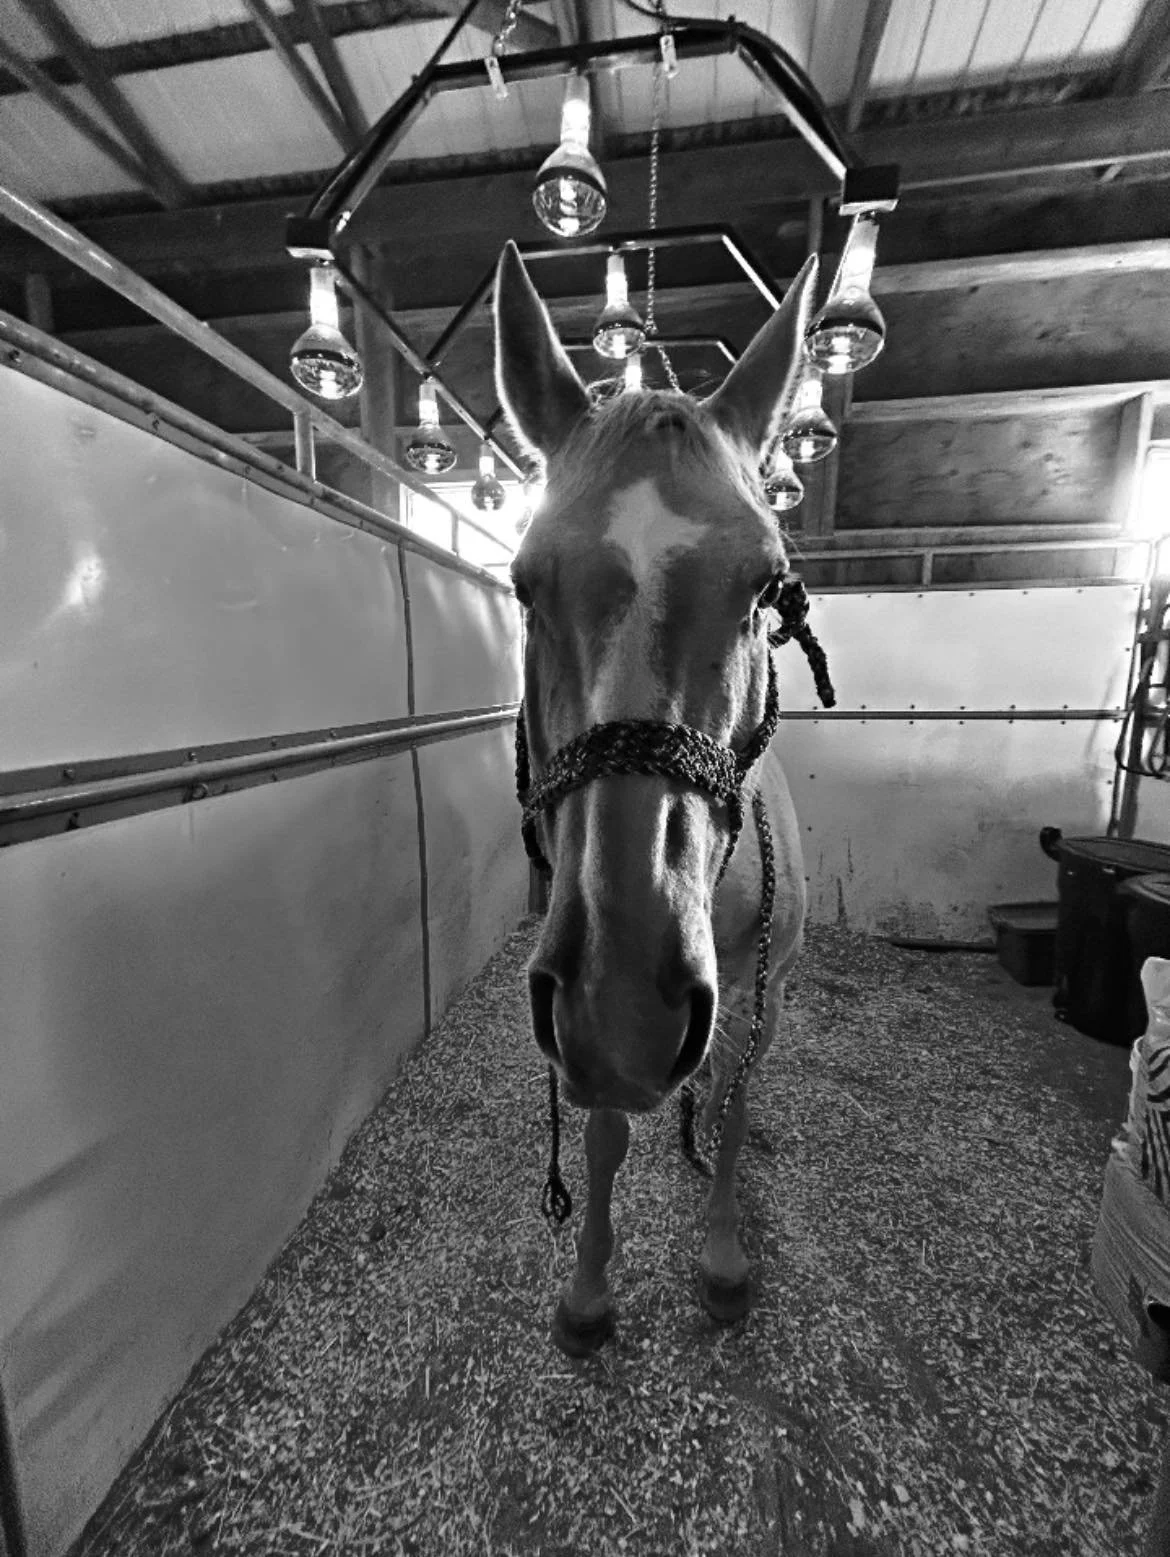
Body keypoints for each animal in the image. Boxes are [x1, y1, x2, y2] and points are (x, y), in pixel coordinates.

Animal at [494, 240, 819, 1357]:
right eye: (522, 583)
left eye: (767, 588)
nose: (624, 1006)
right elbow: (600, 1137)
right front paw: (591, 1287)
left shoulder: (757, 990)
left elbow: (733, 1098)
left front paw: (720, 1257)